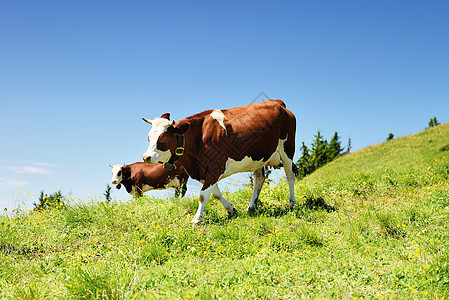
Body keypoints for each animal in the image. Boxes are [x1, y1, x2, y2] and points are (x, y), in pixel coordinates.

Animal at [142, 99, 296, 224]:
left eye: (163, 138)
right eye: (149, 137)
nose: (146, 157)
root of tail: (278, 103)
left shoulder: (215, 167)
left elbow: (203, 196)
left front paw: (197, 219)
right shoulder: (204, 171)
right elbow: (215, 193)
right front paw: (231, 209)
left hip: (287, 150)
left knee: (290, 175)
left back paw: (291, 203)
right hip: (258, 158)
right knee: (259, 179)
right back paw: (251, 207)